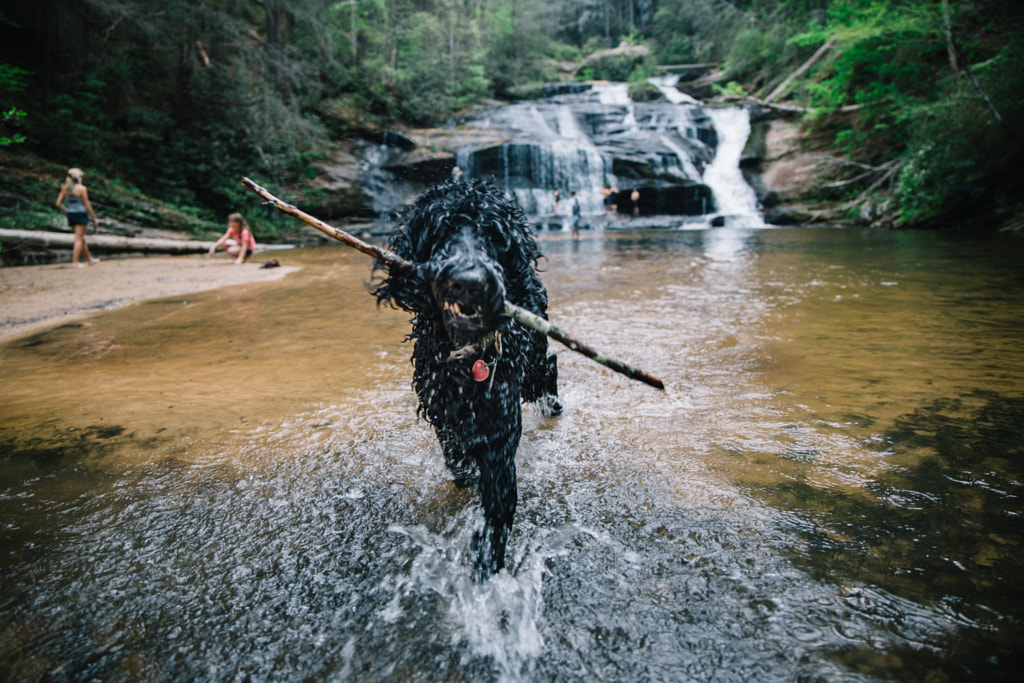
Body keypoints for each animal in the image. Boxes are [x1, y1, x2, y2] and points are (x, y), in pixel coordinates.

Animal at [372, 178, 561, 577]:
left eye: (494, 235)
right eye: (441, 230)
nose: (468, 281)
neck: (468, 356)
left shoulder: (499, 430)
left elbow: (498, 506)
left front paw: (487, 570)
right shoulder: (442, 413)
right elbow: (457, 462)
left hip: (532, 367)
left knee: (549, 363)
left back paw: (554, 403)